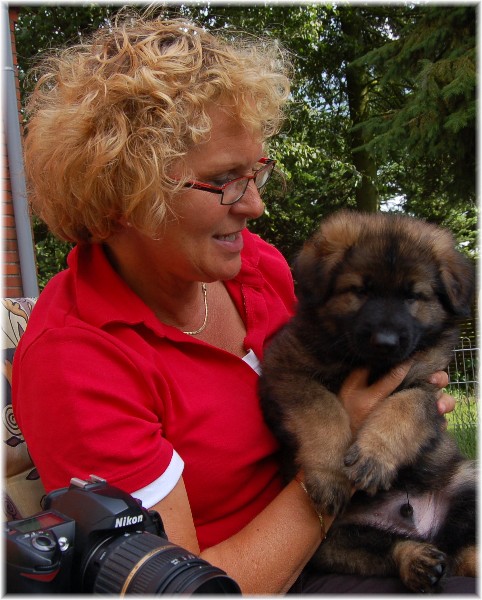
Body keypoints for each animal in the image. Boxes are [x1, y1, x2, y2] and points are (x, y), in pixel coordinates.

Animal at [259, 210, 476, 592]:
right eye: (359, 290)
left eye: (412, 296)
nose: (385, 342)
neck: (369, 364)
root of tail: (428, 531)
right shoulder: (287, 373)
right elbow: (323, 410)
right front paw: (330, 473)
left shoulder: (425, 387)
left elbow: (403, 408)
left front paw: (375, 456)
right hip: (330, 542)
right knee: (387, 548)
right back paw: (415, 560)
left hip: (467, 481)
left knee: (464, 549)